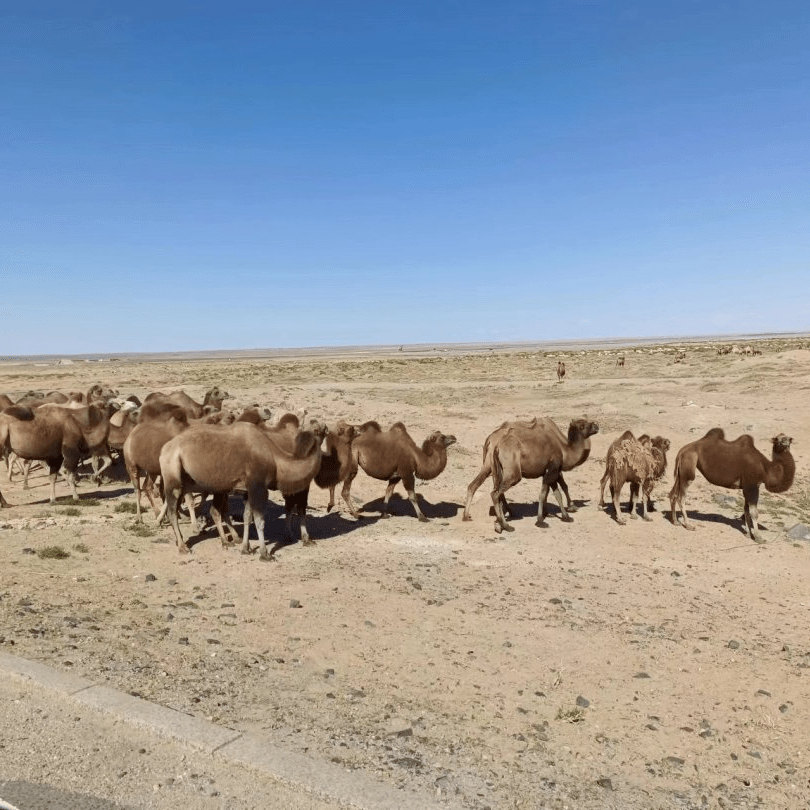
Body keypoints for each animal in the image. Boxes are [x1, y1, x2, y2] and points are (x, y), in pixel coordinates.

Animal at [156, 416, 324, 556]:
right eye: (317, 428)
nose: (323, 427)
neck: (275, 460)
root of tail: (164, 449)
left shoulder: (249, 490)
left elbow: (247, 516)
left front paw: (246, 548)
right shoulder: (258, 487)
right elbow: (259, 520)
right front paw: (265, 554)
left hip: (186, 483)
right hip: (173, 473)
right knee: (172, 511)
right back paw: (183, 547)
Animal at [460, 414, 600, 520]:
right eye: (583, 425)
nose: (596, 425)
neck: (565, 449)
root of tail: (490, 439)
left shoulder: (547, 470)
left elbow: (549, 489)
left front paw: (546, 512)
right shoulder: (554, 467)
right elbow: (563, 486)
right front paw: (570, 507)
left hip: (490, 466)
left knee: (477, 486)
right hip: (500, 467)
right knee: (494, 488)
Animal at [664, 426, 792, 540]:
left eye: (790, 439)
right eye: (778, 439)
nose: (786, 443)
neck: (766, 468)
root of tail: (682, 450)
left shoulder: (748, 486)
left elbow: (746, 510)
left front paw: (747, 533)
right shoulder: (752, 485)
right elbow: (753, 512)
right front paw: (758, 537)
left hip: (681, 471)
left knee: (673, 494)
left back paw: (675, 521)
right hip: (689, 465)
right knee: (681, 497)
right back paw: (689, 525)